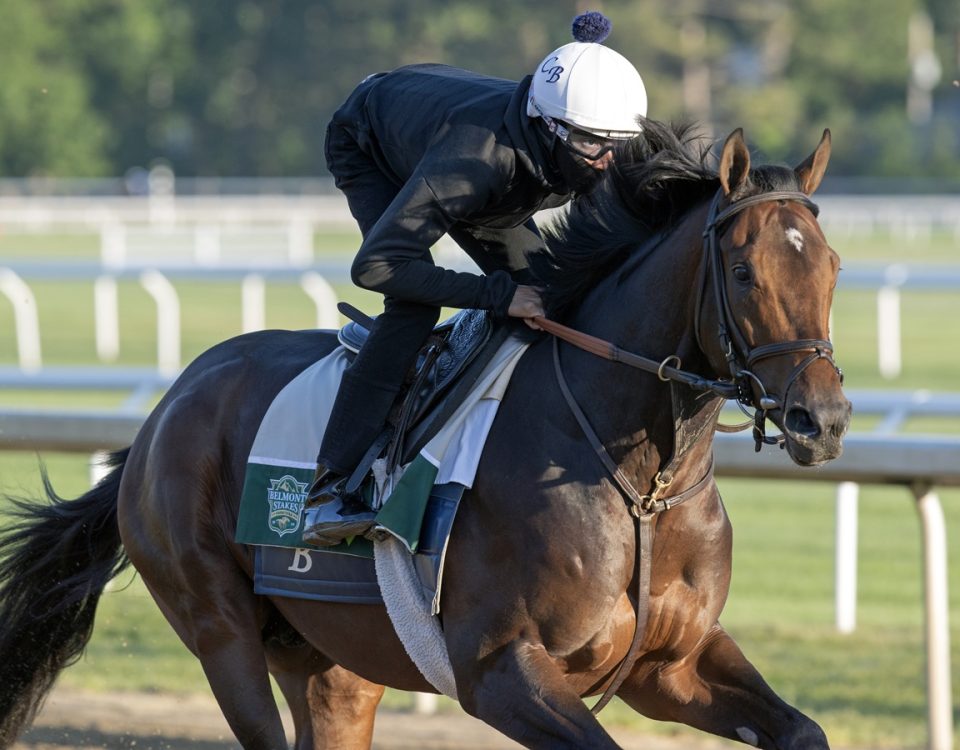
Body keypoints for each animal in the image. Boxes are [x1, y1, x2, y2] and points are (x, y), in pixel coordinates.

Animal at [0, 125, 852, 750]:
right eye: (742, 272)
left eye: (835, 267)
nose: (823, 419)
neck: (641, 486)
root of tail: (163, 412)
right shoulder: (498, 669)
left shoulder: (672, 664)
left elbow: (803, 731)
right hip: (218, 626)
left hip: (331, 661)